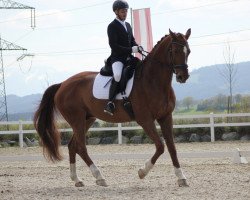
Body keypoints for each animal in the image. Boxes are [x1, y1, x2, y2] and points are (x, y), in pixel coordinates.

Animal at [34, 28, 191, 188]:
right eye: (175, 51)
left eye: (188, 51)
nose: (183, 77)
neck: (153, 81)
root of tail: (62, 84)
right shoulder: (145, 120)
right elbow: (160, 146)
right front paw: (142, 172)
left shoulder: (165, 117)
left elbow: (171, 147)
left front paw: (181, 177)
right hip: (76, 120)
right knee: (81, 147)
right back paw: (99, 177)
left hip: (87, 119)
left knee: (73, 146)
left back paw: (77, 179)